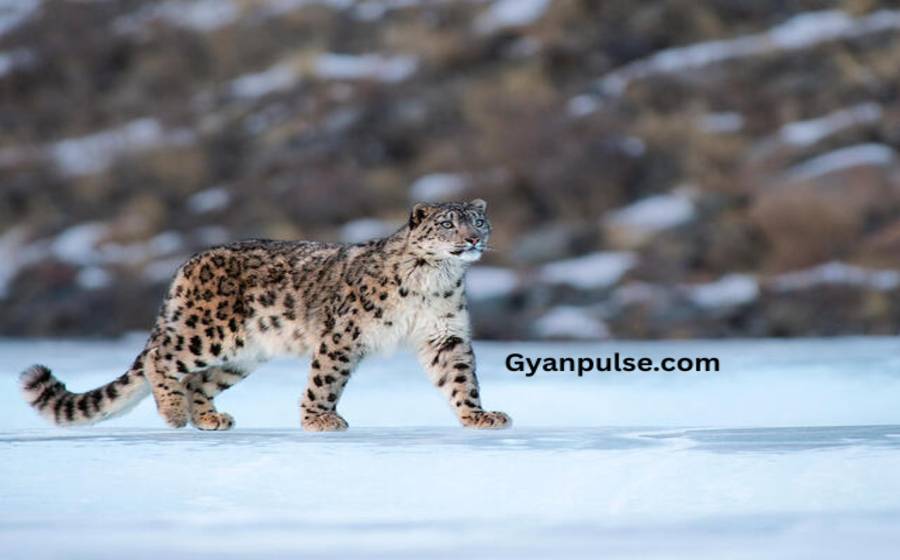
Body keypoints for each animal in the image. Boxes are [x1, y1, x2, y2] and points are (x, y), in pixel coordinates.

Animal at [19, 199, 512, 432]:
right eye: (447, 223)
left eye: (477, 221)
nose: (472, 239)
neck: (435, 280)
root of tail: (188, 264)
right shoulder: (344, 334)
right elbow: (326, 378)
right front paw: (319, 419)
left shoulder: (445, 335)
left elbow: (460, 379)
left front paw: (478, 415)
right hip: (207, 334)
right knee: (162, 357)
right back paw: (174, 412)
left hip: (241, 355)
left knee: (199, 381)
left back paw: (209, 418)